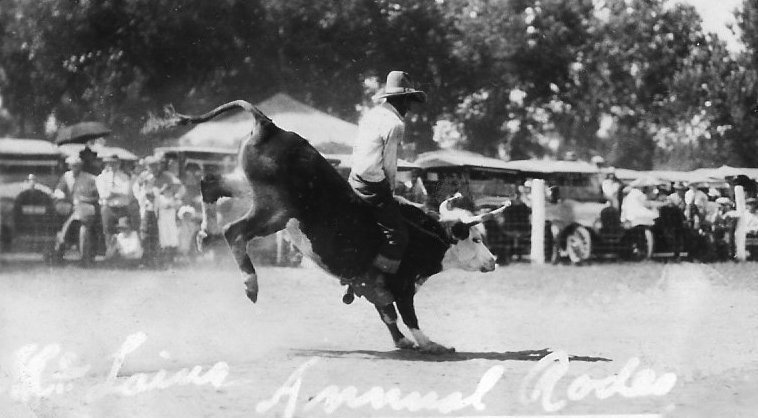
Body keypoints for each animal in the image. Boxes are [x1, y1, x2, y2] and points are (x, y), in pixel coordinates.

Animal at [151, 100, 508, 352]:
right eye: (476, 238)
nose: (494, 261)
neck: (425, 235)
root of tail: (269, 126)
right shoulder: (404, 285)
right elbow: (409, 316)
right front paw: (430, 344)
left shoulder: (372, 287)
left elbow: (387, 314)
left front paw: (402, 342)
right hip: (275, 210)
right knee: (234, 231)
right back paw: (249, 283)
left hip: (248, 186)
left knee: (209, 184)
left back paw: (204, 233)